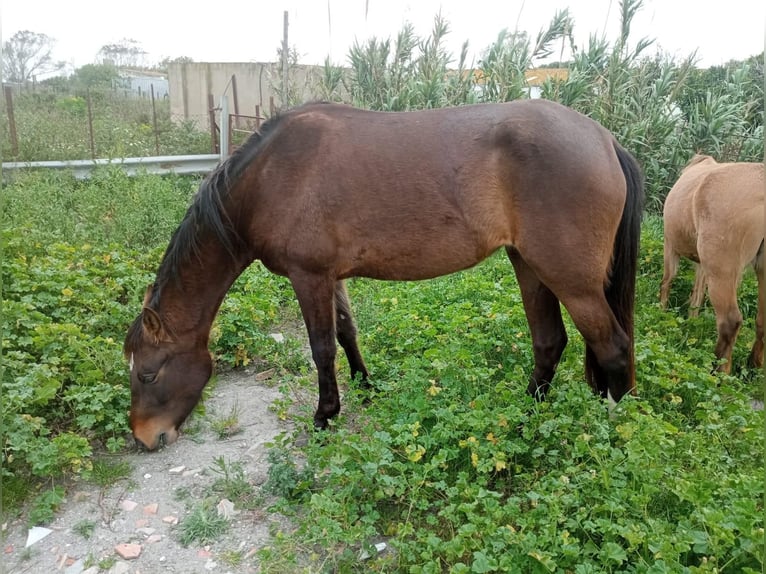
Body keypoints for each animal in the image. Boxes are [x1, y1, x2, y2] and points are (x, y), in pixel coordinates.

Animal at [123, 99, 644, 452]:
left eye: (148, 374)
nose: (145, 438)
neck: (271, 176)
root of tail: (605, 140)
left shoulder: (307, 276)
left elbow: (321, 348)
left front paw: (325, 417)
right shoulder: (330, 276)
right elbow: (346, 330)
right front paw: (365, 386)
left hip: (570, 279)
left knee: (612, 347)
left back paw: (616, 431)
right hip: (528, 264)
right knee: (550, 341)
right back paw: (525, 416)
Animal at [664, 155, 764, 376]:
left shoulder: (670, 244)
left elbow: (668, 279)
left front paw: (661, 310)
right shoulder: (702, 264)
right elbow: (697, 293)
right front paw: (691, 321)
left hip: (721, 269)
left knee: (730, 321)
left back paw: (719, 372)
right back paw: (752, 366)